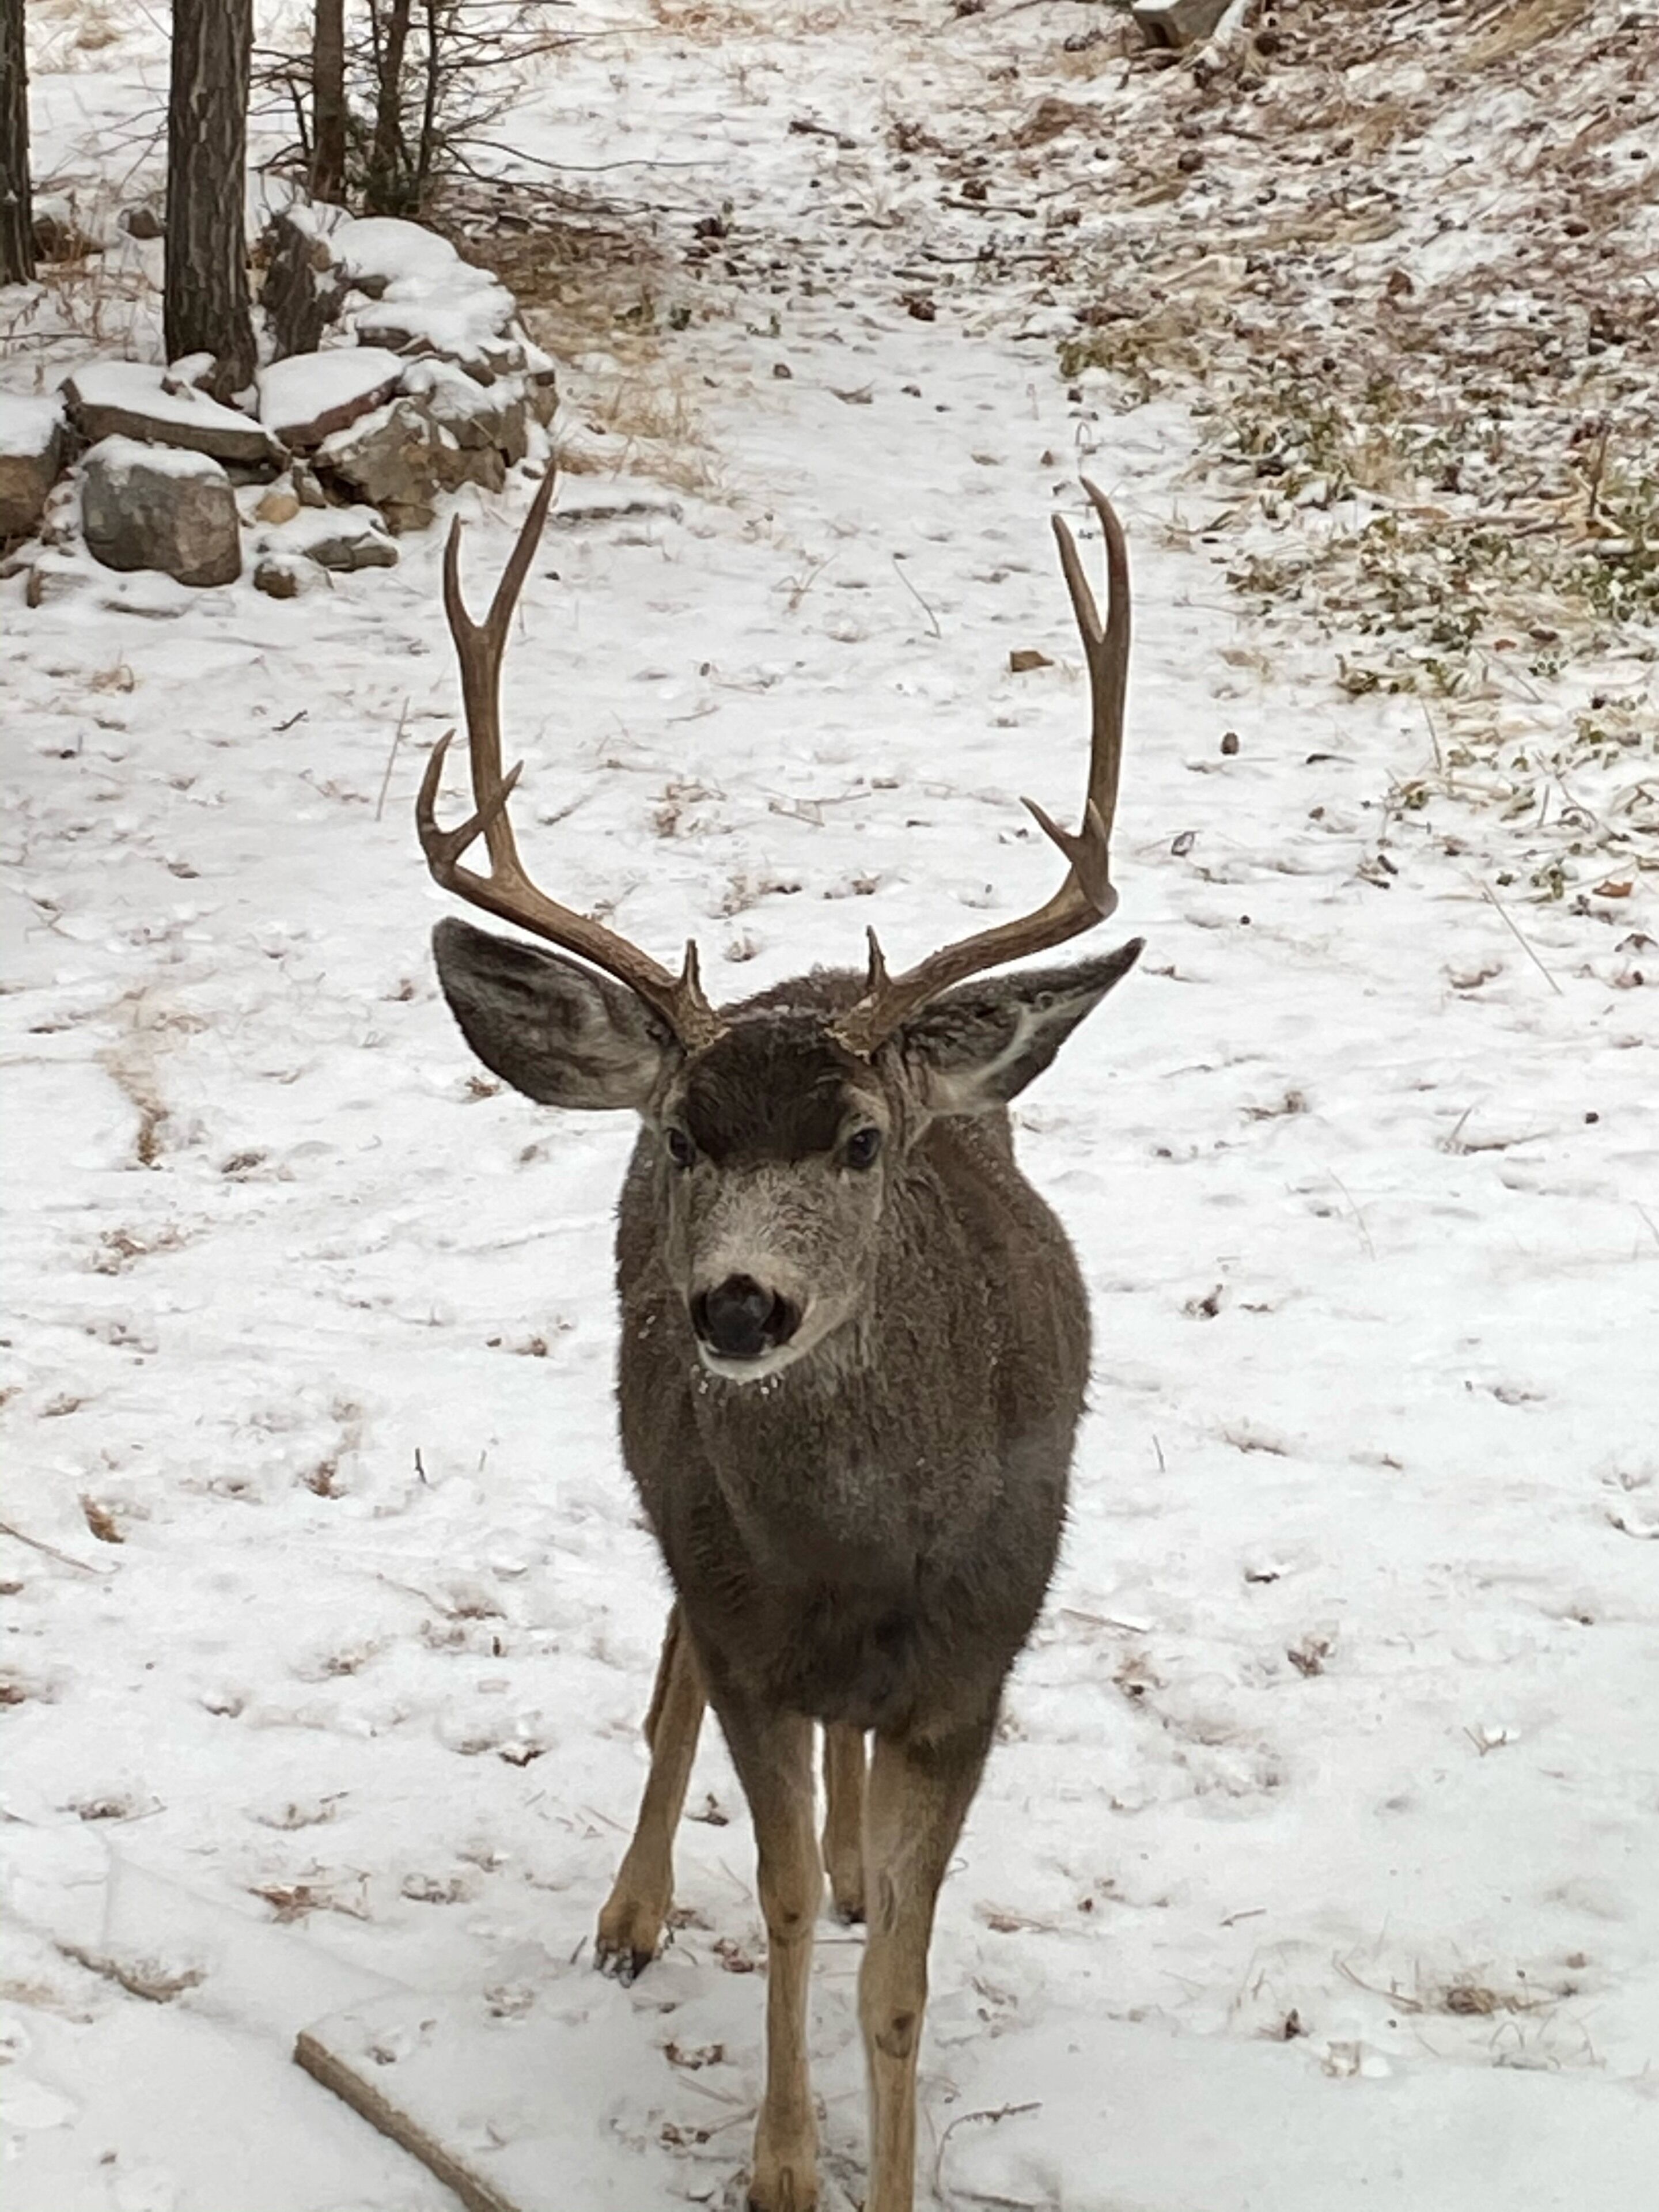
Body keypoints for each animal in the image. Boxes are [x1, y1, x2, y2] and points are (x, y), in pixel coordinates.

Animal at [420, 465, 1142, 2212]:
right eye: (683, 1133)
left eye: (865, 1142)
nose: (740, 1302)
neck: (859, 1566)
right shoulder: (745, 1618)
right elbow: (785, 1897)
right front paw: (782, 2166)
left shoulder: (976, 1663)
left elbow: (899, 1979)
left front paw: (887, 2166)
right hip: (671, 1504)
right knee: (688, 1686)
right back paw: (634, 1909)